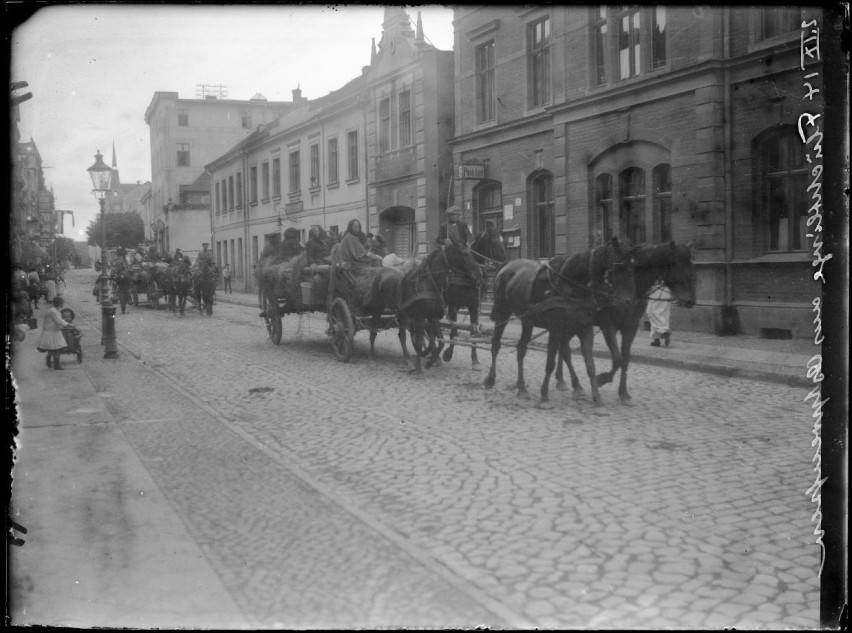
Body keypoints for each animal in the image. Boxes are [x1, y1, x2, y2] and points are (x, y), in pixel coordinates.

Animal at [482, 239, 636, 408]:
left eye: (631, 268)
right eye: (617, 267)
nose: (629, 301)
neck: (571, 287)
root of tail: (507, 265)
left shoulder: (585, 328)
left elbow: (590, 365)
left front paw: (597, 396)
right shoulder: (556, 330)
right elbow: (550, 363)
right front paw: (544, 396)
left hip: (527, 321)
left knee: (521, 350)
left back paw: (522, 388)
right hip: (503, 312)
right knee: (496, 344)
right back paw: (490, 379)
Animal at [556, 239, 696, 402]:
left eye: (691, 264)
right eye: (675, 263)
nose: (690, 300)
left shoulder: (630, 326)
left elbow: (625, 359)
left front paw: (623, 393)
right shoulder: (608, 325)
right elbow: (617, 358)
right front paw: (601, 379)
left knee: (562, 347)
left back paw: (561, 380)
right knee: (564, 348)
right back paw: (571, 384)